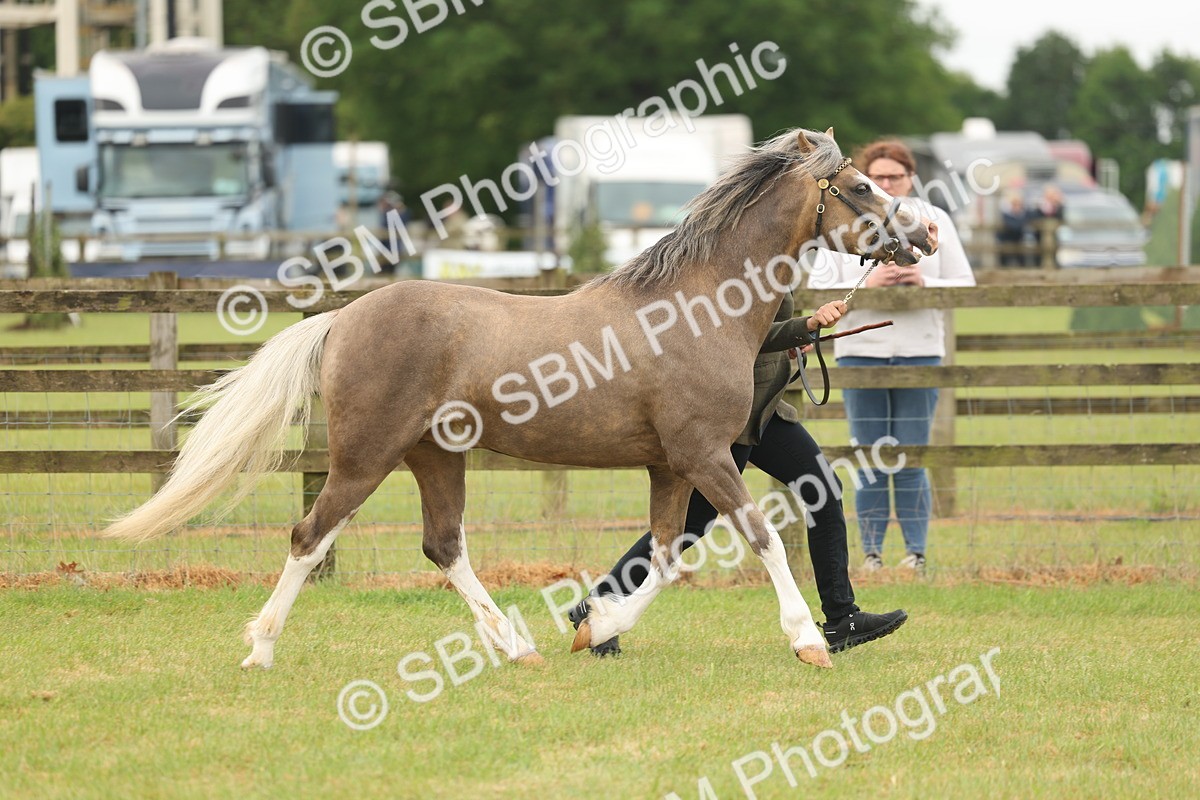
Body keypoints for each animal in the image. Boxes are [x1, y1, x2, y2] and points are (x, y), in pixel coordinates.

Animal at [104, 128, 934, 670]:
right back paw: (261, 648)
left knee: (443, 545)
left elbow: (665, 557)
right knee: (311, 537)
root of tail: (342, 318)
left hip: (434, 456)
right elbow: (760, 537)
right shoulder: (706, 455)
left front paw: (593, 626)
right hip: (366, 455)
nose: (923, 235)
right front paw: (807, 642)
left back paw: (516, 645)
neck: (698, 308)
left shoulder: (673, 466)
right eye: (862, 185)